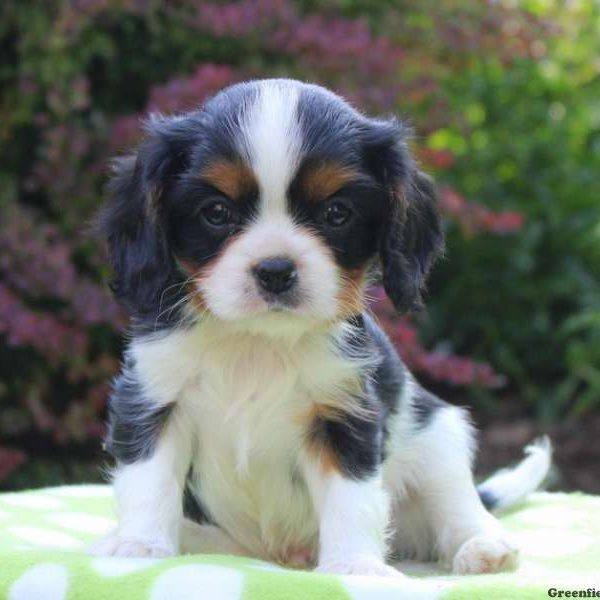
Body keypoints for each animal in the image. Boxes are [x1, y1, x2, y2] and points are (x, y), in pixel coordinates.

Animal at [91, 78, 552, 576]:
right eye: (216, 212)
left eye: (336, 213)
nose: (275, 270)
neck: (257, 341)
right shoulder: (154, 399)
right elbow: (148, 480)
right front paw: (139, 546)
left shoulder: (344, 413)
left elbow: (351, 499)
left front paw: (354, 567)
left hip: (438, 439)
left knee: (459, 506)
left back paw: (483, 548)